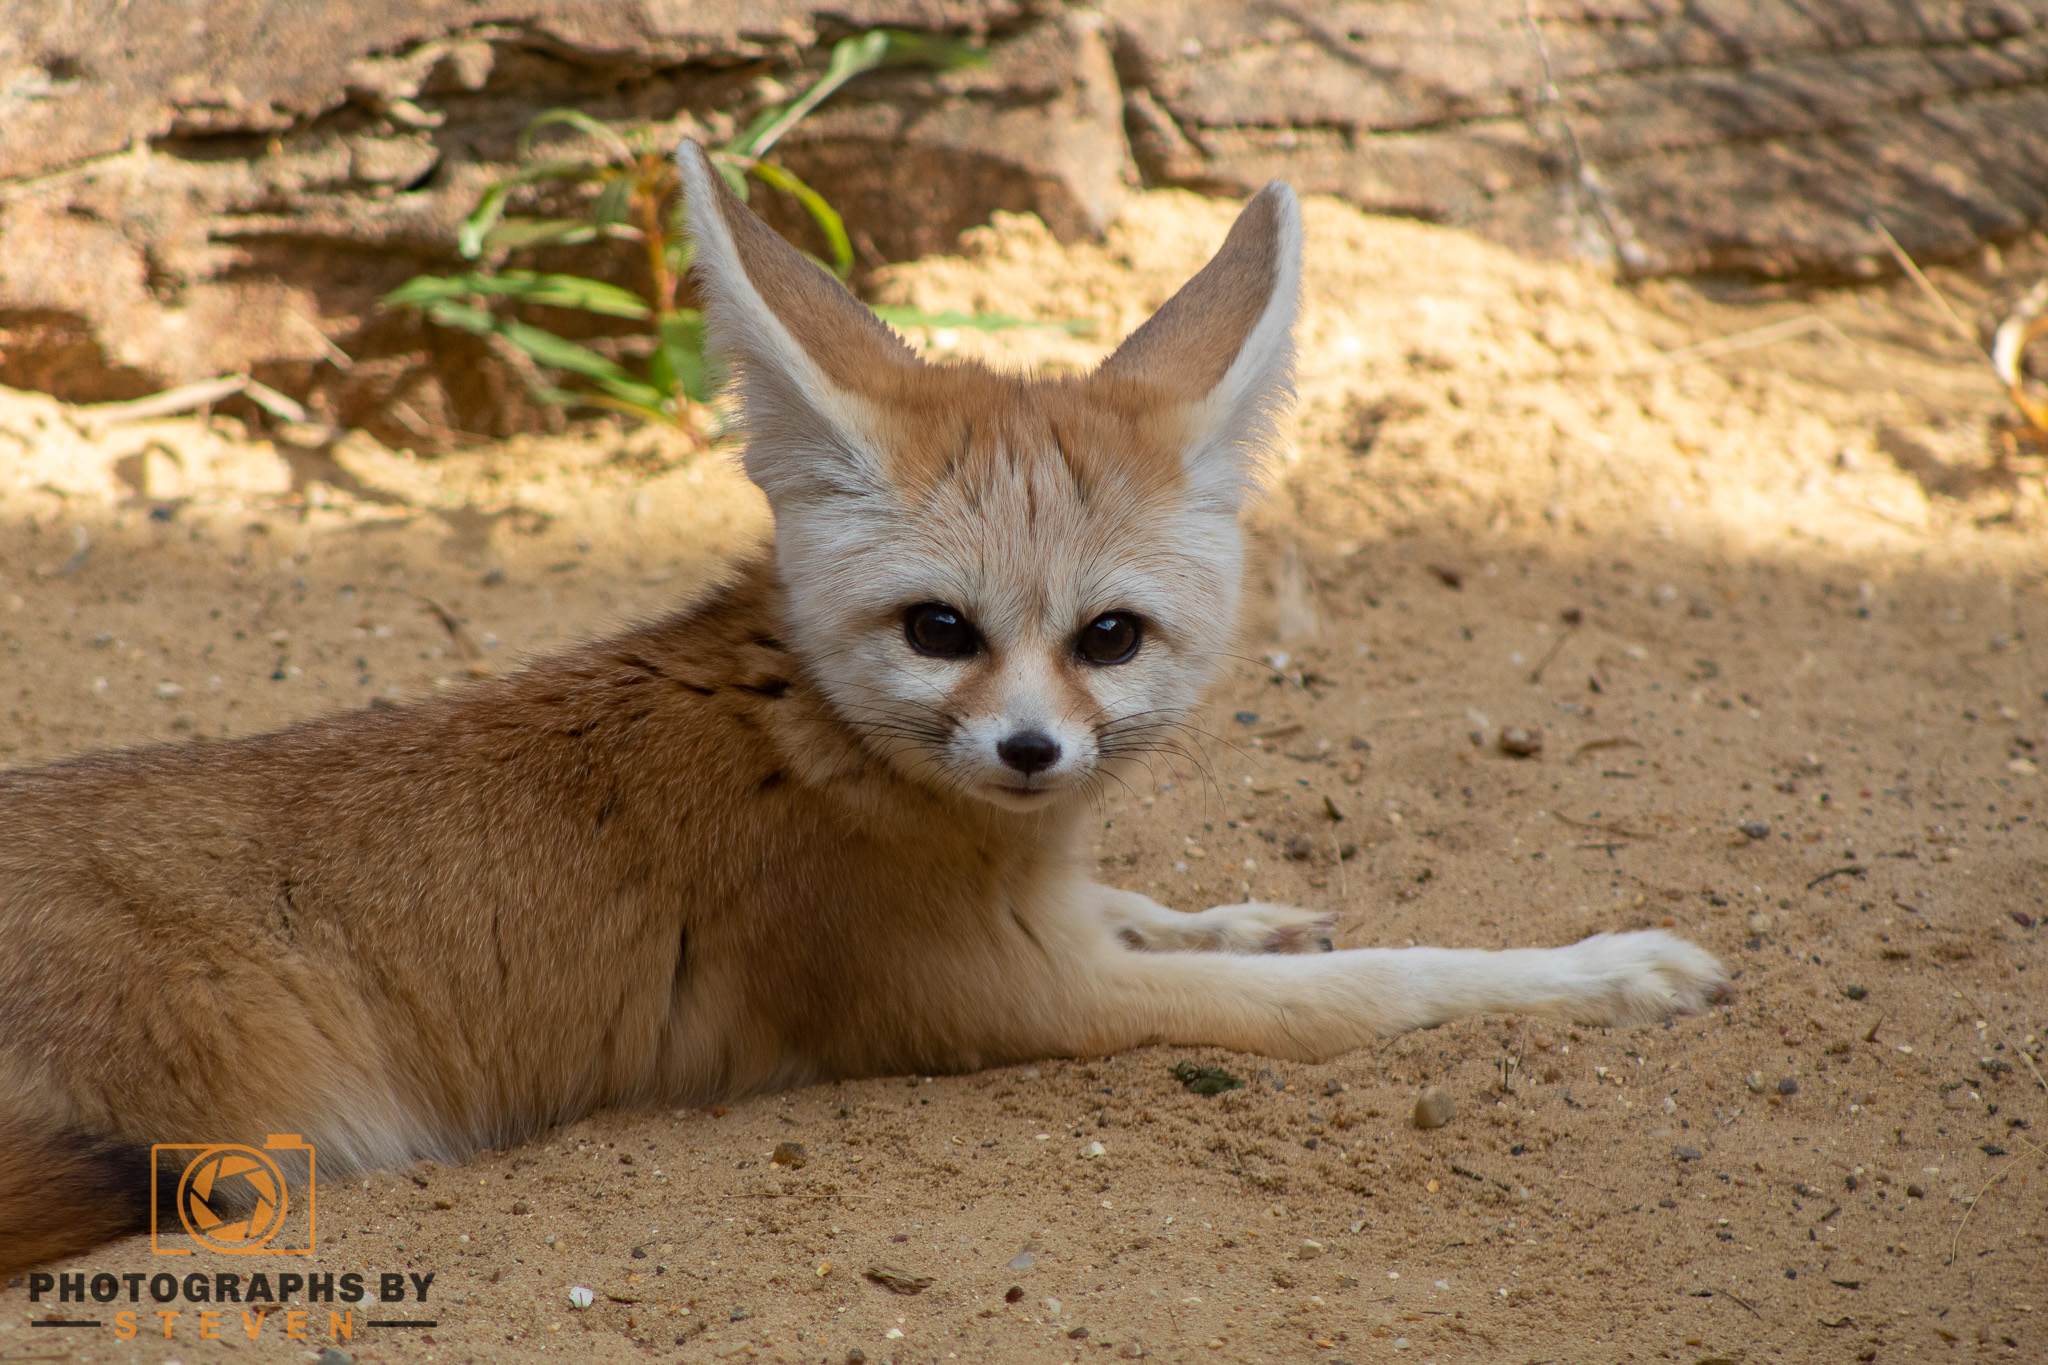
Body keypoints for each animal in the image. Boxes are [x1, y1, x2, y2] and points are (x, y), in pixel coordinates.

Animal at [0, 142, 1728, 1275]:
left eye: (1109, 637)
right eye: (937, 630)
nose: (1029, 749)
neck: (810, 735)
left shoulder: (1059, 919)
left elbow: (1172, 908)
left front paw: (1253, 908)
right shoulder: (1019, 999)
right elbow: (1383, 987)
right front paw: (1601, 970)